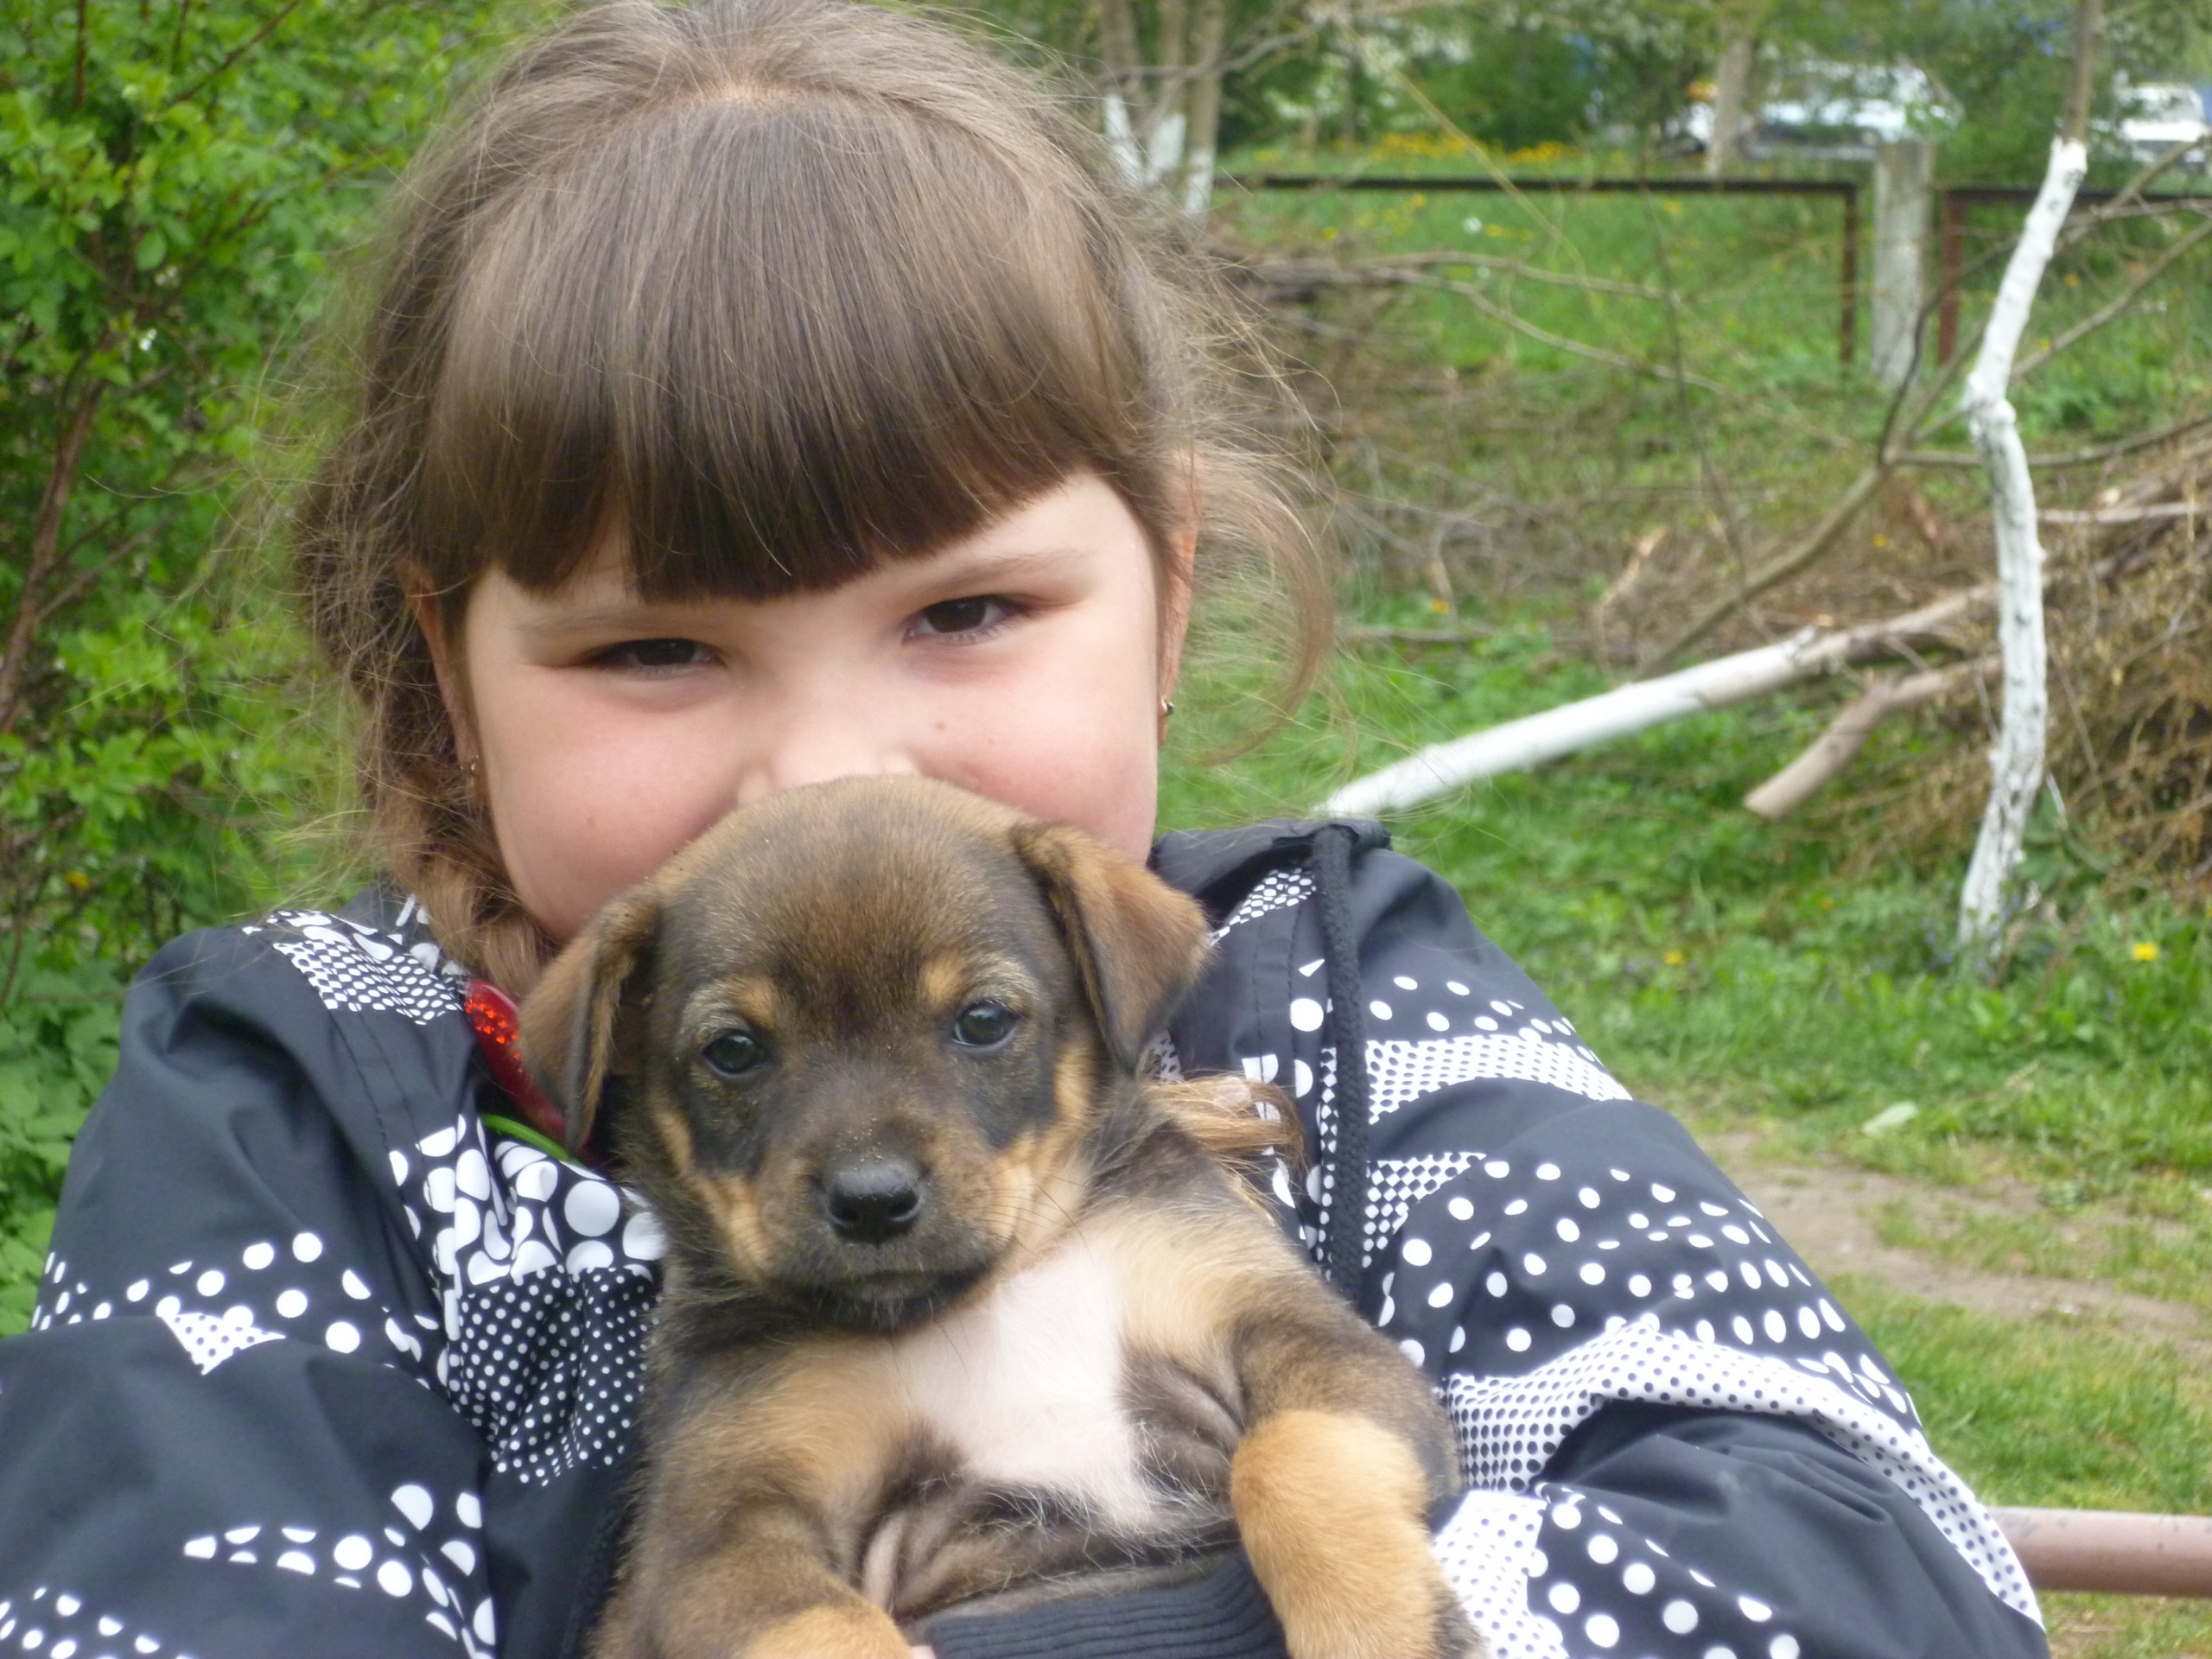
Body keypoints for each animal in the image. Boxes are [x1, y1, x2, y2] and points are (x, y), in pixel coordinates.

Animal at [519, 776, 1481, 1659]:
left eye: (982, 1020)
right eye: (733, 1050)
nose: (872, 1201)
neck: (996, 1294)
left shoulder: (1301, 1335)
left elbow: (1291, 1458)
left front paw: (1380, 1627)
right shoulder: (722, 1533)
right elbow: (828, 1631)